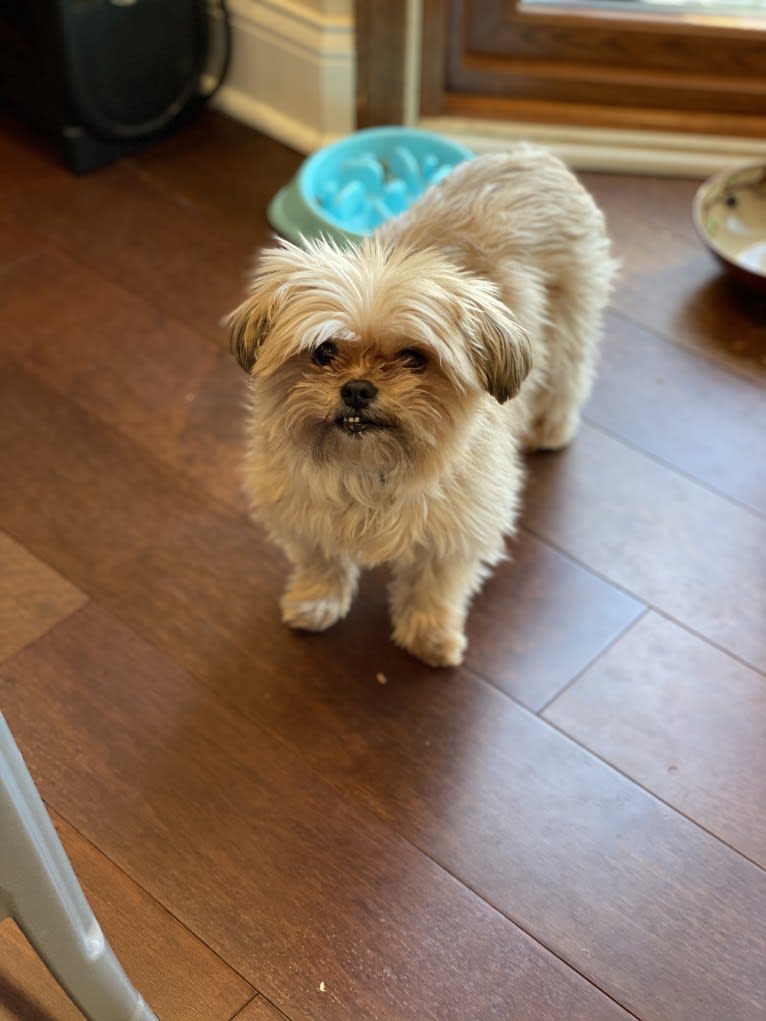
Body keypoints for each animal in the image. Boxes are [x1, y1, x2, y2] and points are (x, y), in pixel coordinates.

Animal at [226, 146, 616, 669]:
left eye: (414, 359)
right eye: (324, 352)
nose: (357, 388)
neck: (370, 471)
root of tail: (535, 152)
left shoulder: (458, 531)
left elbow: (436, 586)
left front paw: (430, 636)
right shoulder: (300, 511)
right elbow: (321, 560)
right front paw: (316, 600)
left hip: (571, 321)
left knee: (569, 378)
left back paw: (550, 431)